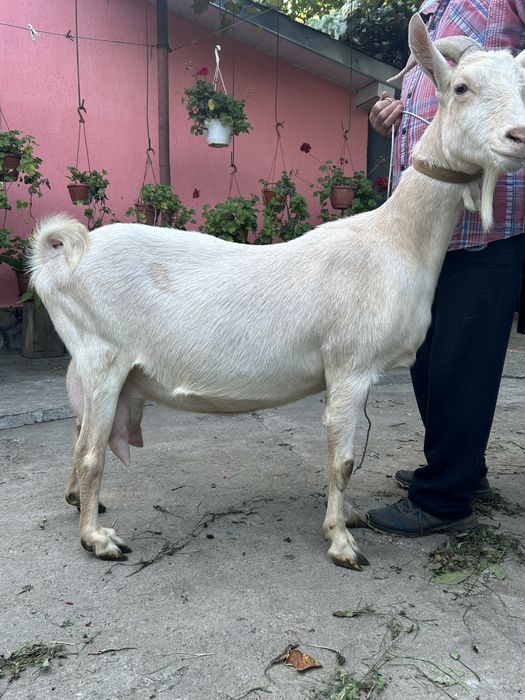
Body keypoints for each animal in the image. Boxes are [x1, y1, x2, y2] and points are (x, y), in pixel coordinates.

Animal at [30, 15, 525, 568]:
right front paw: (341, 542)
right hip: (102, 354)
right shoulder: (350, 365)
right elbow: (344, 459)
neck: (395, 239)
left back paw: (81, 504)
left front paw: (350, 518)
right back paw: (99, 538)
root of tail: (57, 256)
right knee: (90, 452)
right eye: (461, 87)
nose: (519, 136)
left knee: (79, 436)